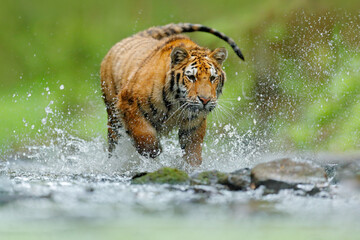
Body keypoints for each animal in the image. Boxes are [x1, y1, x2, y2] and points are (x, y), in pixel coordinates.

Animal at [100, 22, 243, 166]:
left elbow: (193, 151)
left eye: (213, 78)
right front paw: (154, 152)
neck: (176, 102)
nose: (205, 100)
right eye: (191, 77)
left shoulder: (194, 123)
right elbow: (144, 135)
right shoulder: (128, 102)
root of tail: (132, 38)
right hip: (113, 117)